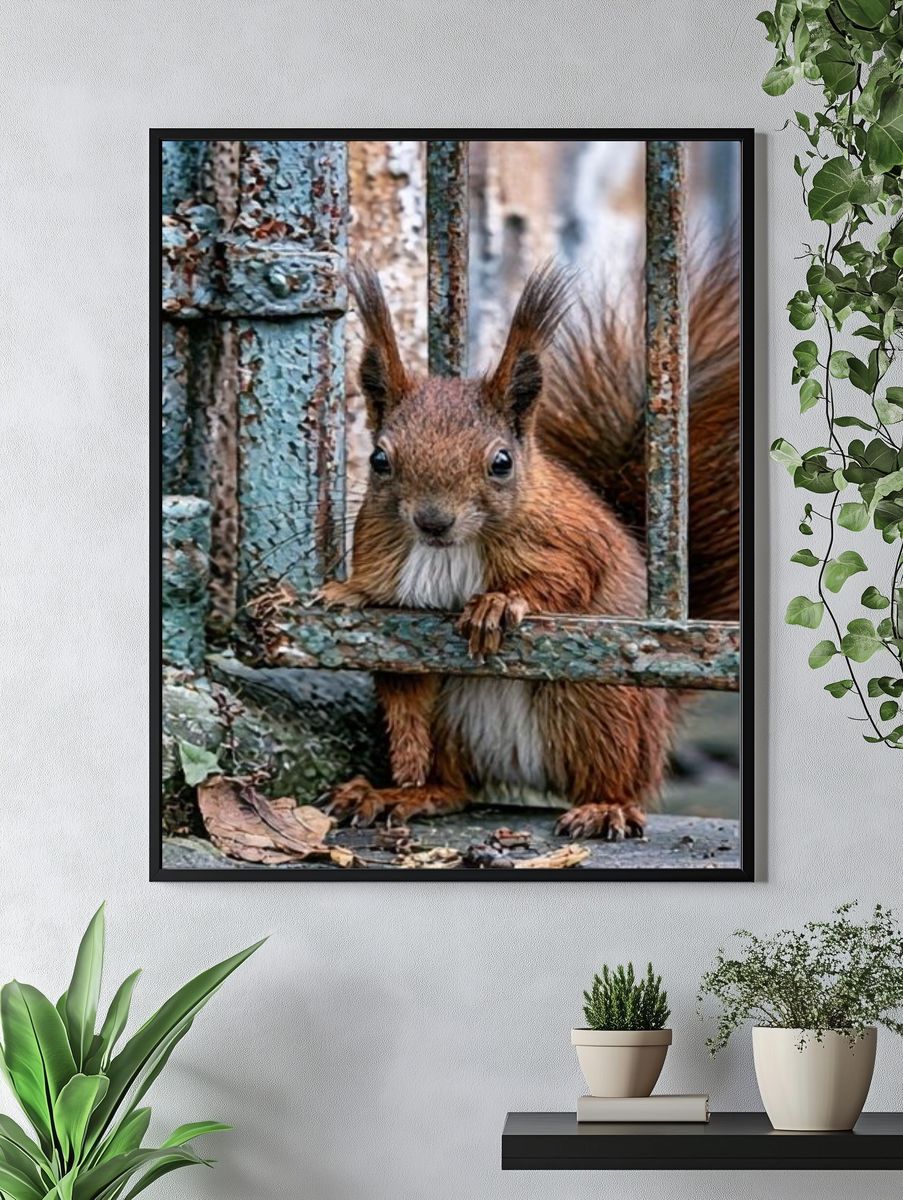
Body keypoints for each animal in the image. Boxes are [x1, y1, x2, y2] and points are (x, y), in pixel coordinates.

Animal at [316, 252, 739, 840]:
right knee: (454, 785)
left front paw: (498, 603)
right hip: (455, 723)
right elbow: (399, 680)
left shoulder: (574, 539)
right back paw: (407, 792)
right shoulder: (388, 592)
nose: (432, 522)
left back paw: (606, 807)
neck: (451, 550)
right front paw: (346, 593)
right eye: (379, 460)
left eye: (501, 462)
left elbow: (567, 578)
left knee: (620, 777)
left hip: (601, 701)